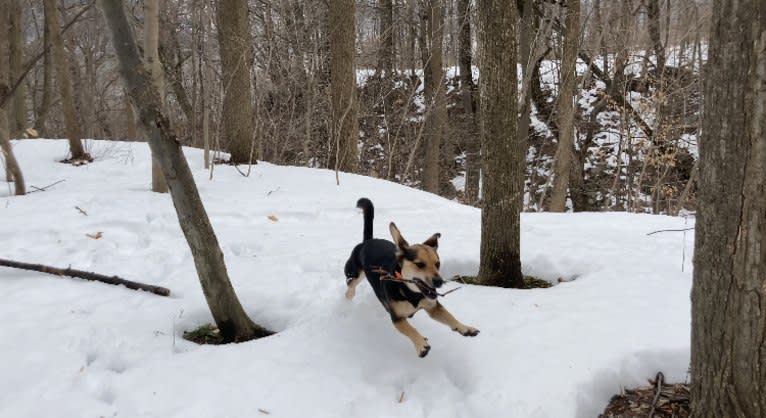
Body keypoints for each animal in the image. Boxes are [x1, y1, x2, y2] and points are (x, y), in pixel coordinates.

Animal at [344, 198, 480, 358]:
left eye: (438, 264)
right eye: (420, 264)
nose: (439, 282)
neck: (409, 292)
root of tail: (367, 241)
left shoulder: (433, 307)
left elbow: (450, 316)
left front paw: (465, 328)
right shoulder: (397, 318)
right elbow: (410, 329)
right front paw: (421, 344)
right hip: (354, 272)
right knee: (350, 286)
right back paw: (348, 298)